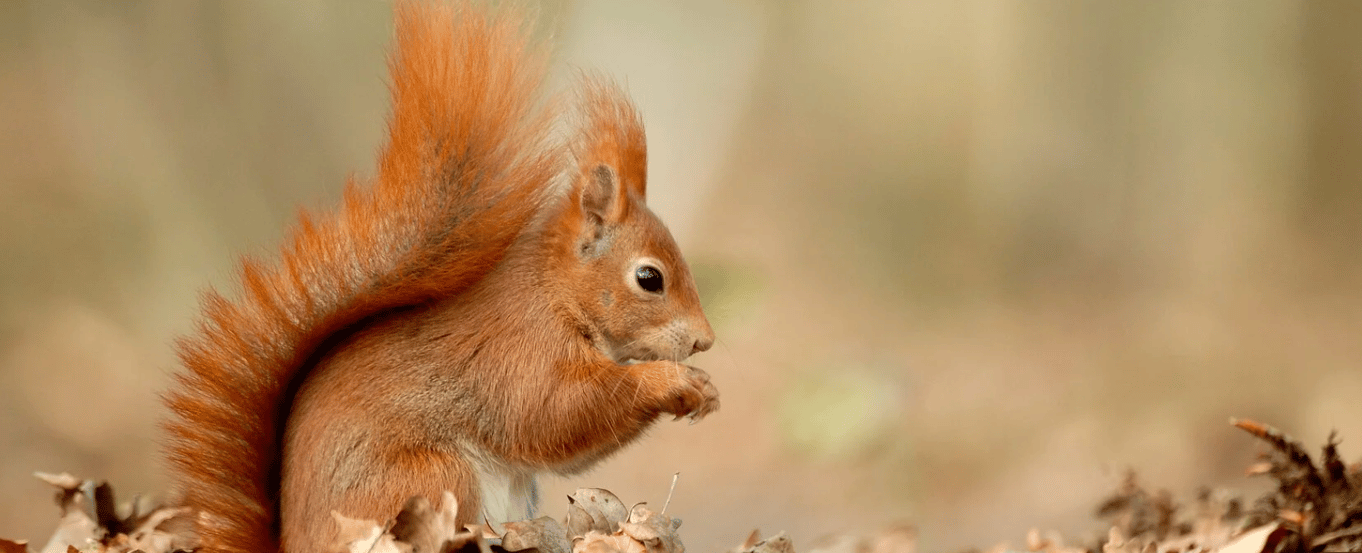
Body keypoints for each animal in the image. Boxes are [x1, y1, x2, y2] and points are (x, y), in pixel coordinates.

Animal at [161, 2, 719, 552]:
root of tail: (294, 544)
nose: (705, 341)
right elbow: (556, 413)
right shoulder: (519, 352)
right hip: (433, 477)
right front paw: (673, 382)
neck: (557, 294)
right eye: (649, 278)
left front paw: (706, 390)